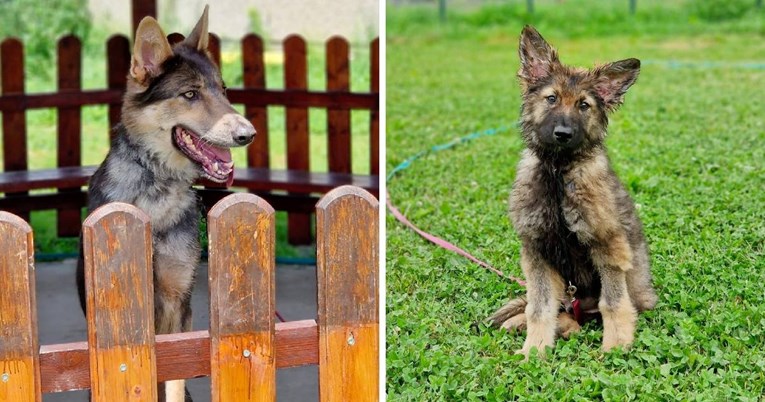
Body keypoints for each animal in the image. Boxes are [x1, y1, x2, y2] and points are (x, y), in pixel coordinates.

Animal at [78, 5, 256, 398]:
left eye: (223, 90)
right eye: (190, 94)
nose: (248, 134)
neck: (156, 187)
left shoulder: (178, 307)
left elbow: (174, 382)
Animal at [490, 25, 656, 358]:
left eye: (583, 105)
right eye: (551, 99)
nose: (563, 134)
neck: (558, 173)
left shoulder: (608, 245)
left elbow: (613, 303)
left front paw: (616, 347)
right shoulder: (537, 250)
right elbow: (539, 307)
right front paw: (534, 350)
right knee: (559, 309)